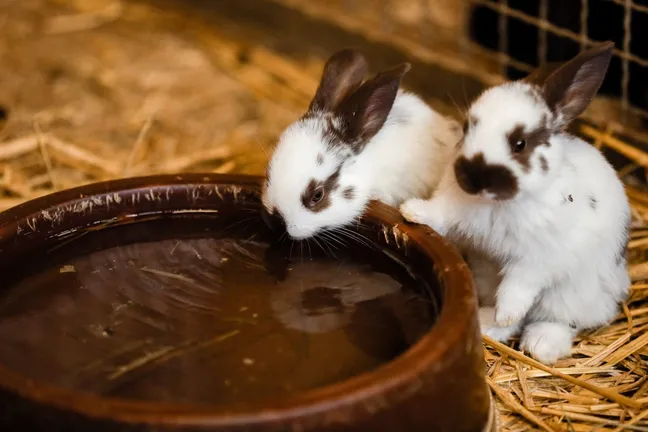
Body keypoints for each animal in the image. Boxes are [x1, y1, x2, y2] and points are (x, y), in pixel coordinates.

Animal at [400, 41, 631, 365]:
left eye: (519, 143)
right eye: (467, 127)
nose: (473, 177)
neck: (496, 204)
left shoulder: (535, 261)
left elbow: (518, 290)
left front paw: (506, 313)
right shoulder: (454, 209)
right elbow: (439, 214)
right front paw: (411, 211)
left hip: (570, 296)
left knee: (560, 321)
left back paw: (540, 344)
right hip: (486, 277)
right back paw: (487, 323)